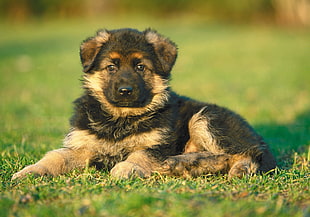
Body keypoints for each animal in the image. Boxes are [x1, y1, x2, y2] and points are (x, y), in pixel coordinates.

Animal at [11, 28, 276, 180]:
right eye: (111, 67)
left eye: (140, 67)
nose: (125, 91)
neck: (119, 118)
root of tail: (255, 135)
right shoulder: (81, 146)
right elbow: (55, 157)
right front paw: (29, 171)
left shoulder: (157, 145)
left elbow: (139, 155)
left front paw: (124, 169)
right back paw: (185, 165)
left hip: (205, 118)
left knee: (247, 154)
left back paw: (235, 168)